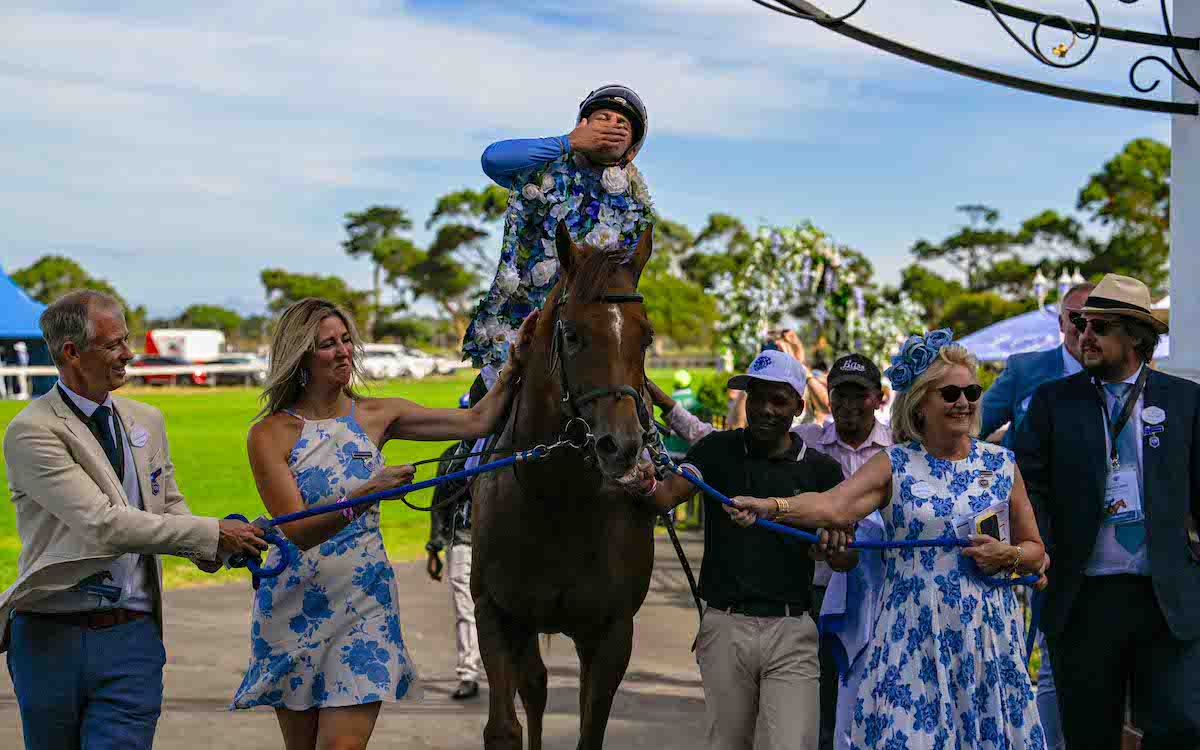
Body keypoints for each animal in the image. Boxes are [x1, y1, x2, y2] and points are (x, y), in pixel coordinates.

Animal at [468, 220, 657, 748]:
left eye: (646, 338)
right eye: (572, 335)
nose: (621, 446)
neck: (557, 500)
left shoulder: (612, 631)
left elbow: (589, 731)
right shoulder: (496, 614)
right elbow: (504, 727)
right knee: (534, 688)